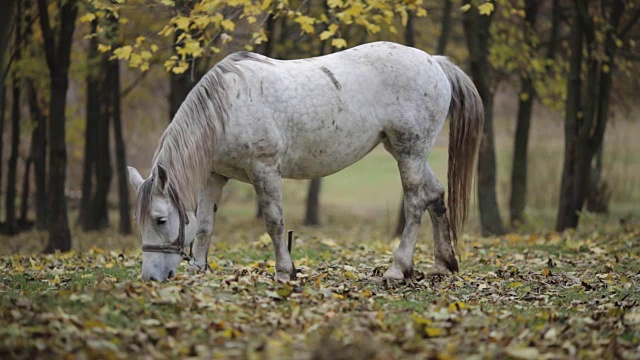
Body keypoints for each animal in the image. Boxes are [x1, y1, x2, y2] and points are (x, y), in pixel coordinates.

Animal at [127, 41, 482, 282]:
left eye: (160, 220)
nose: (150, 278)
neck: (227, 107)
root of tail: (434, 61)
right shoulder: (214, 176)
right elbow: (203, 225)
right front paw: (198, 270)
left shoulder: (265, 171)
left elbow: (274, 222)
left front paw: (285, 271)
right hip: (405, 151)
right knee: (435, 196)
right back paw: (442, 265)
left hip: (410, 151)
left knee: (415, 203)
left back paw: (397, 270)